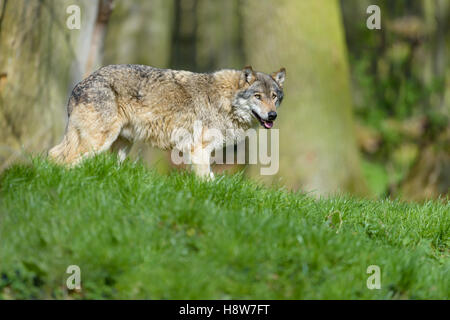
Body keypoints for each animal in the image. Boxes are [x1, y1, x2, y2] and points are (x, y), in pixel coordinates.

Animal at [48, 63, 284, 179]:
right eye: (257, 96)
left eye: (274, 96)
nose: (272, 115)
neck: (225, 101)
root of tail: (80, 84)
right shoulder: (198, 149)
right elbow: (207, 181)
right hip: (98, 143)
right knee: (62, 160)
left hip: (121, 147)